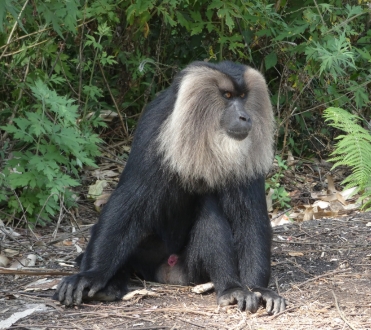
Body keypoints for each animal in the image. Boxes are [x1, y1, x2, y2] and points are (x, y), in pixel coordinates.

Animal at [53, 60, 288, 314]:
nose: (244, 117)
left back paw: (231, 289)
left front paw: (259, 289)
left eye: (243, 97)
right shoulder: (155, 128)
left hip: (189, 268)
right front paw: (92, 275)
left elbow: (250, 215)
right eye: (227, 96)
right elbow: (129, 198)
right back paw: (108, 287)